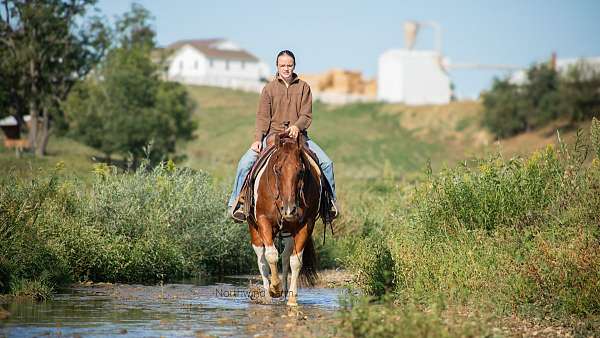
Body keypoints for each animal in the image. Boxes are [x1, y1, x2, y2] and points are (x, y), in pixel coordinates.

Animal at [247, 133, 322, 306]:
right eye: (277, 169)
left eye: (301, 170)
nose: (289, 209)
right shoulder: (263, 221)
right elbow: (271, 255)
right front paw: (274, 288)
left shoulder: (306, 225)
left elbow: (295, 261)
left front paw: (292, 300)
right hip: (254, 229)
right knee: (261, 258)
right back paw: (268, 295)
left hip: (289, 233)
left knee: (286, 256)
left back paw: (286, 292)